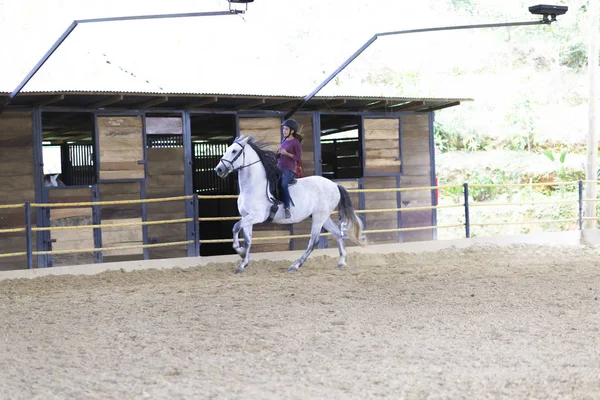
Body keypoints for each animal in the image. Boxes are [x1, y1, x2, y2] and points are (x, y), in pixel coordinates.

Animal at [216, 136, 366, 274]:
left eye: (234, 151)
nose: (219, 169)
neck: (253, 186)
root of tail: (335, 185)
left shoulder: (256, 216)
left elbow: (235, 227)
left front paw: (239, 251)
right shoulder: (247, 217)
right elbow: (247, 240)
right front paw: (242, 264)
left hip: (319, 217)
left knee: (314, 241)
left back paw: (295, 265)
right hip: (322, 217)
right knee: (337, 233)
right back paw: (341, 262)